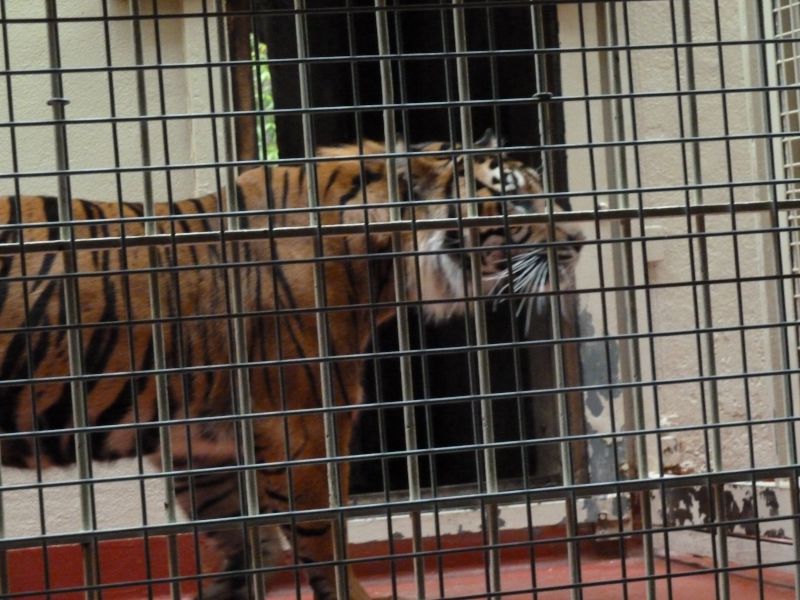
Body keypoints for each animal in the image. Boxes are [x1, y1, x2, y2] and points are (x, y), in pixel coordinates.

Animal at [0, 130, 582, 599]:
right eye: (516, 197)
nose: (579, 239)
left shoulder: (204, 447)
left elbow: (250, 547)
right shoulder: (300, 431)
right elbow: (326, 544)